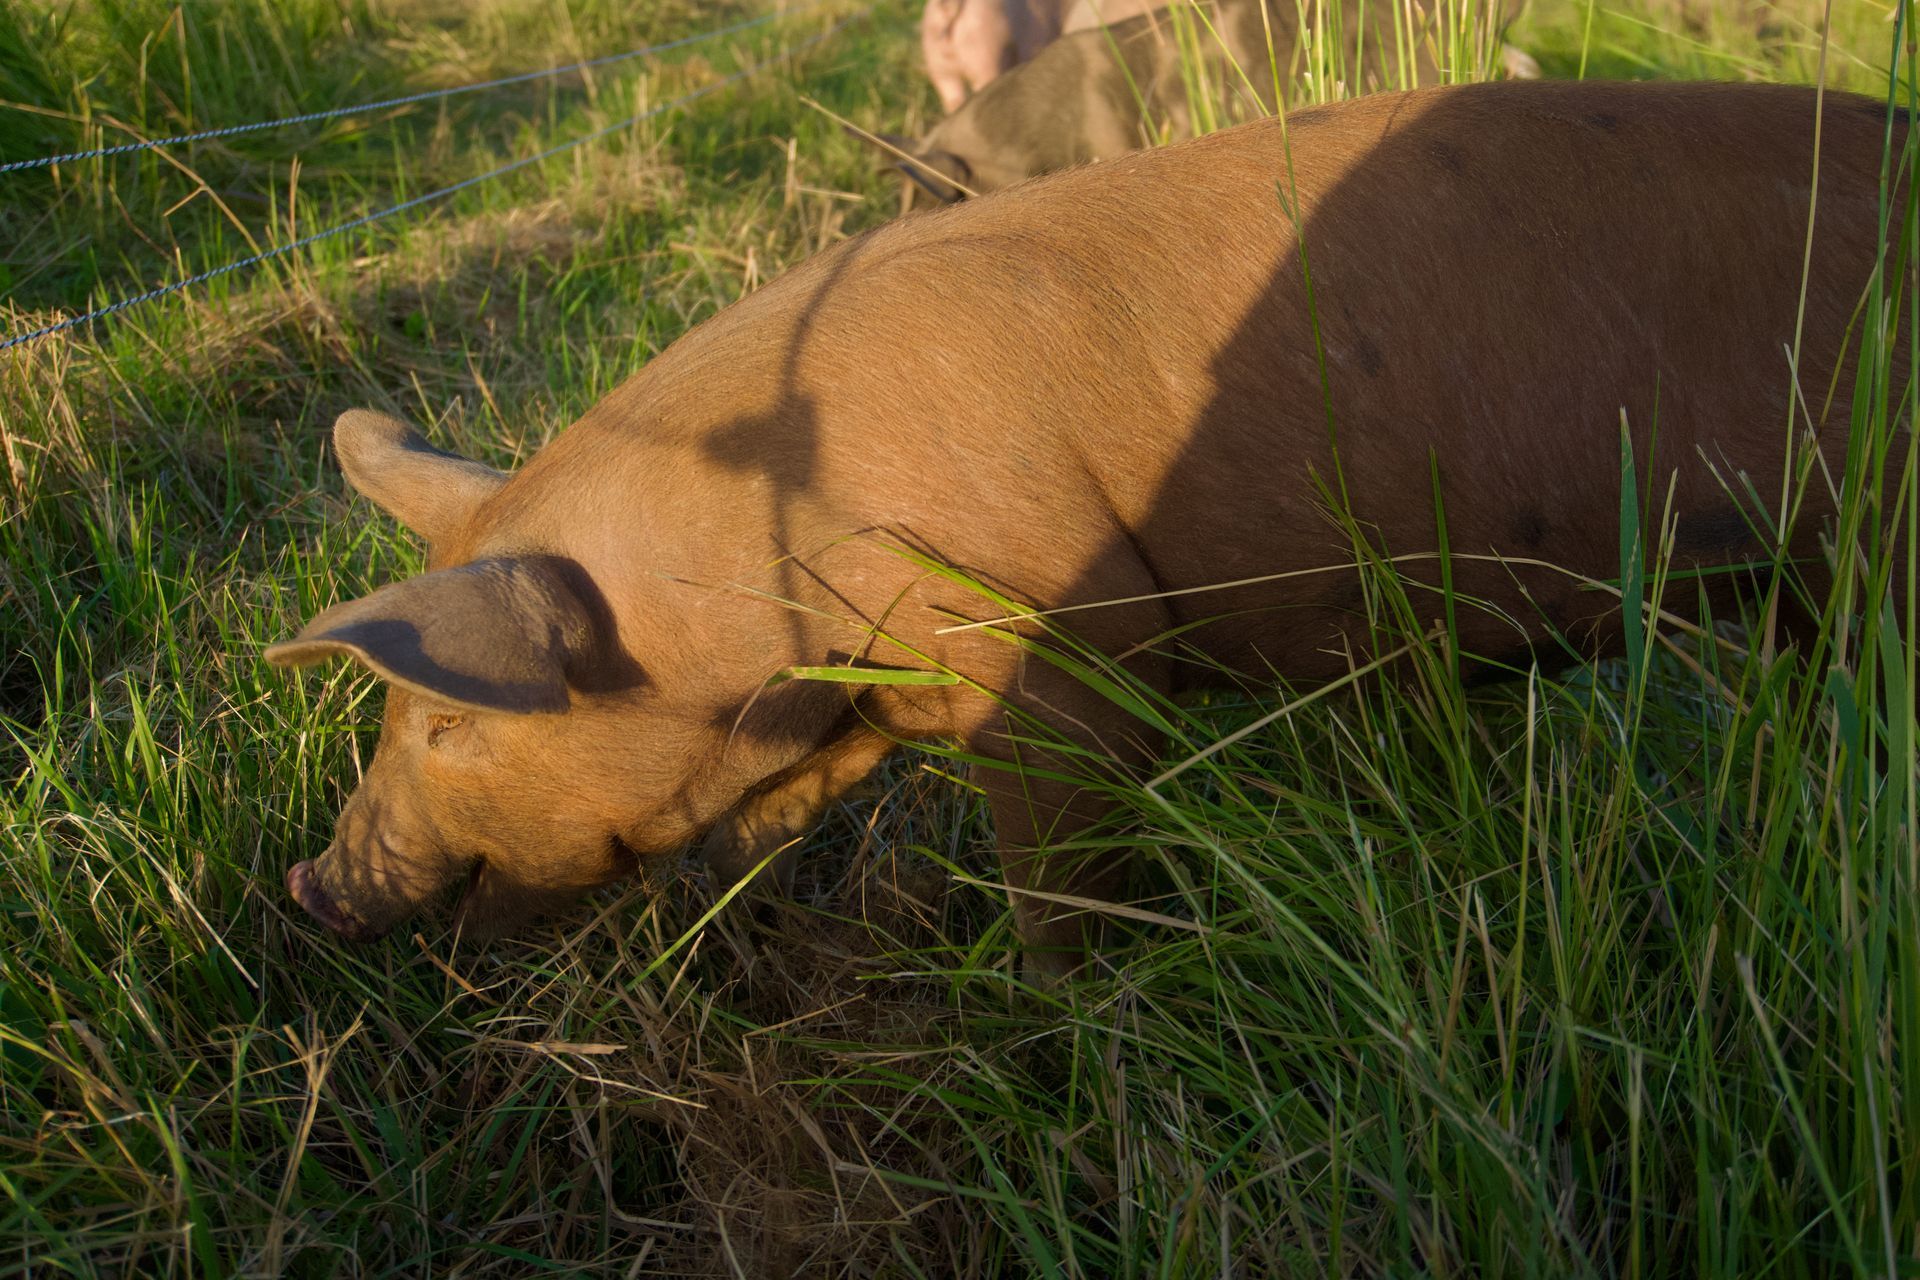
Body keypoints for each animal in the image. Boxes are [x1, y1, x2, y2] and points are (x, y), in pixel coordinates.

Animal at [269, 81, 1905, 974]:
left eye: (443, 725)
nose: (308, 886)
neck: (749, 595)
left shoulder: (1060, 647)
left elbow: (1064, 864)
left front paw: (1047, 1005)